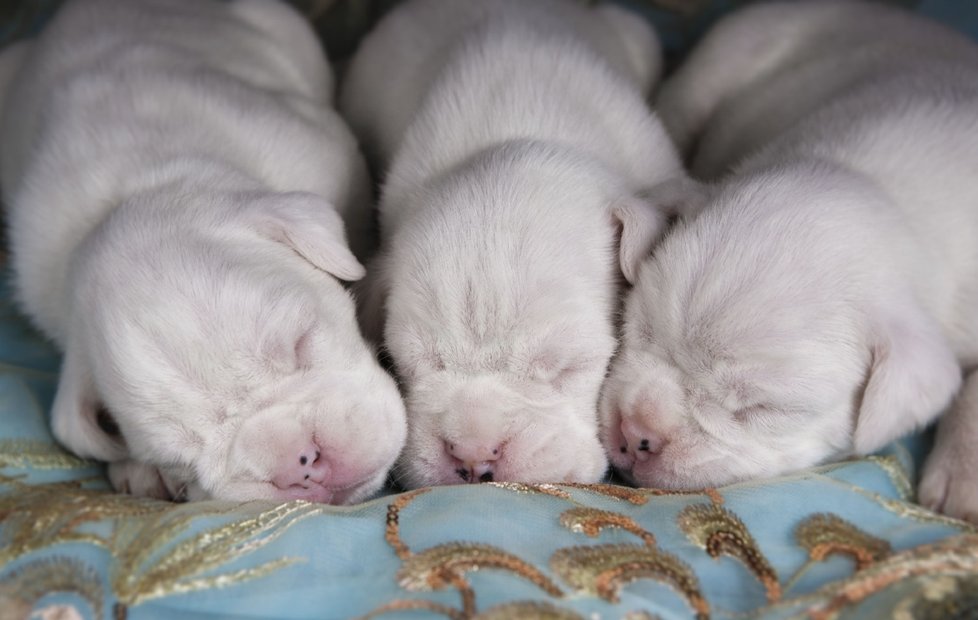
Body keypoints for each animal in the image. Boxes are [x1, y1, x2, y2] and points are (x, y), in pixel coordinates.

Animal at [604, 0, 976, 524]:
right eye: (638, 331)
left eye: (762, 410)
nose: (637, 435)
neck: (883, 192)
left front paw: (963, 476)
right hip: (715, 65)